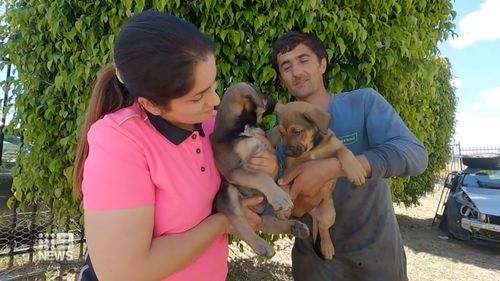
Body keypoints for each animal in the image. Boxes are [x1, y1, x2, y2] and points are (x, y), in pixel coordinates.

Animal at [210, 82, 308, 258]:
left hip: (267, 210)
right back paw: (261, 245)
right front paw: (280, 197)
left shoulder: (262, 135)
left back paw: (296, 227)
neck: (241, 128)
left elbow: (271, 132)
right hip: (228, 192)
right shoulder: (233, 169)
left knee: (270, 223)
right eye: (261, 93)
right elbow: (261, 177)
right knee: (239, 221)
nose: (276, 99)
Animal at [274, 100, 368, 258]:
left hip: (330, 213)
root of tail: (313, 213)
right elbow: (284, 186)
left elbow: (344, 151)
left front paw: (355, 170)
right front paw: (283, 207)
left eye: (297, 131)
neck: (312, 149)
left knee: (324, 229)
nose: (286, 152)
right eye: (281, 133)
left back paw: (327, 247)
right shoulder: (289, 170)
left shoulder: (335, 146)